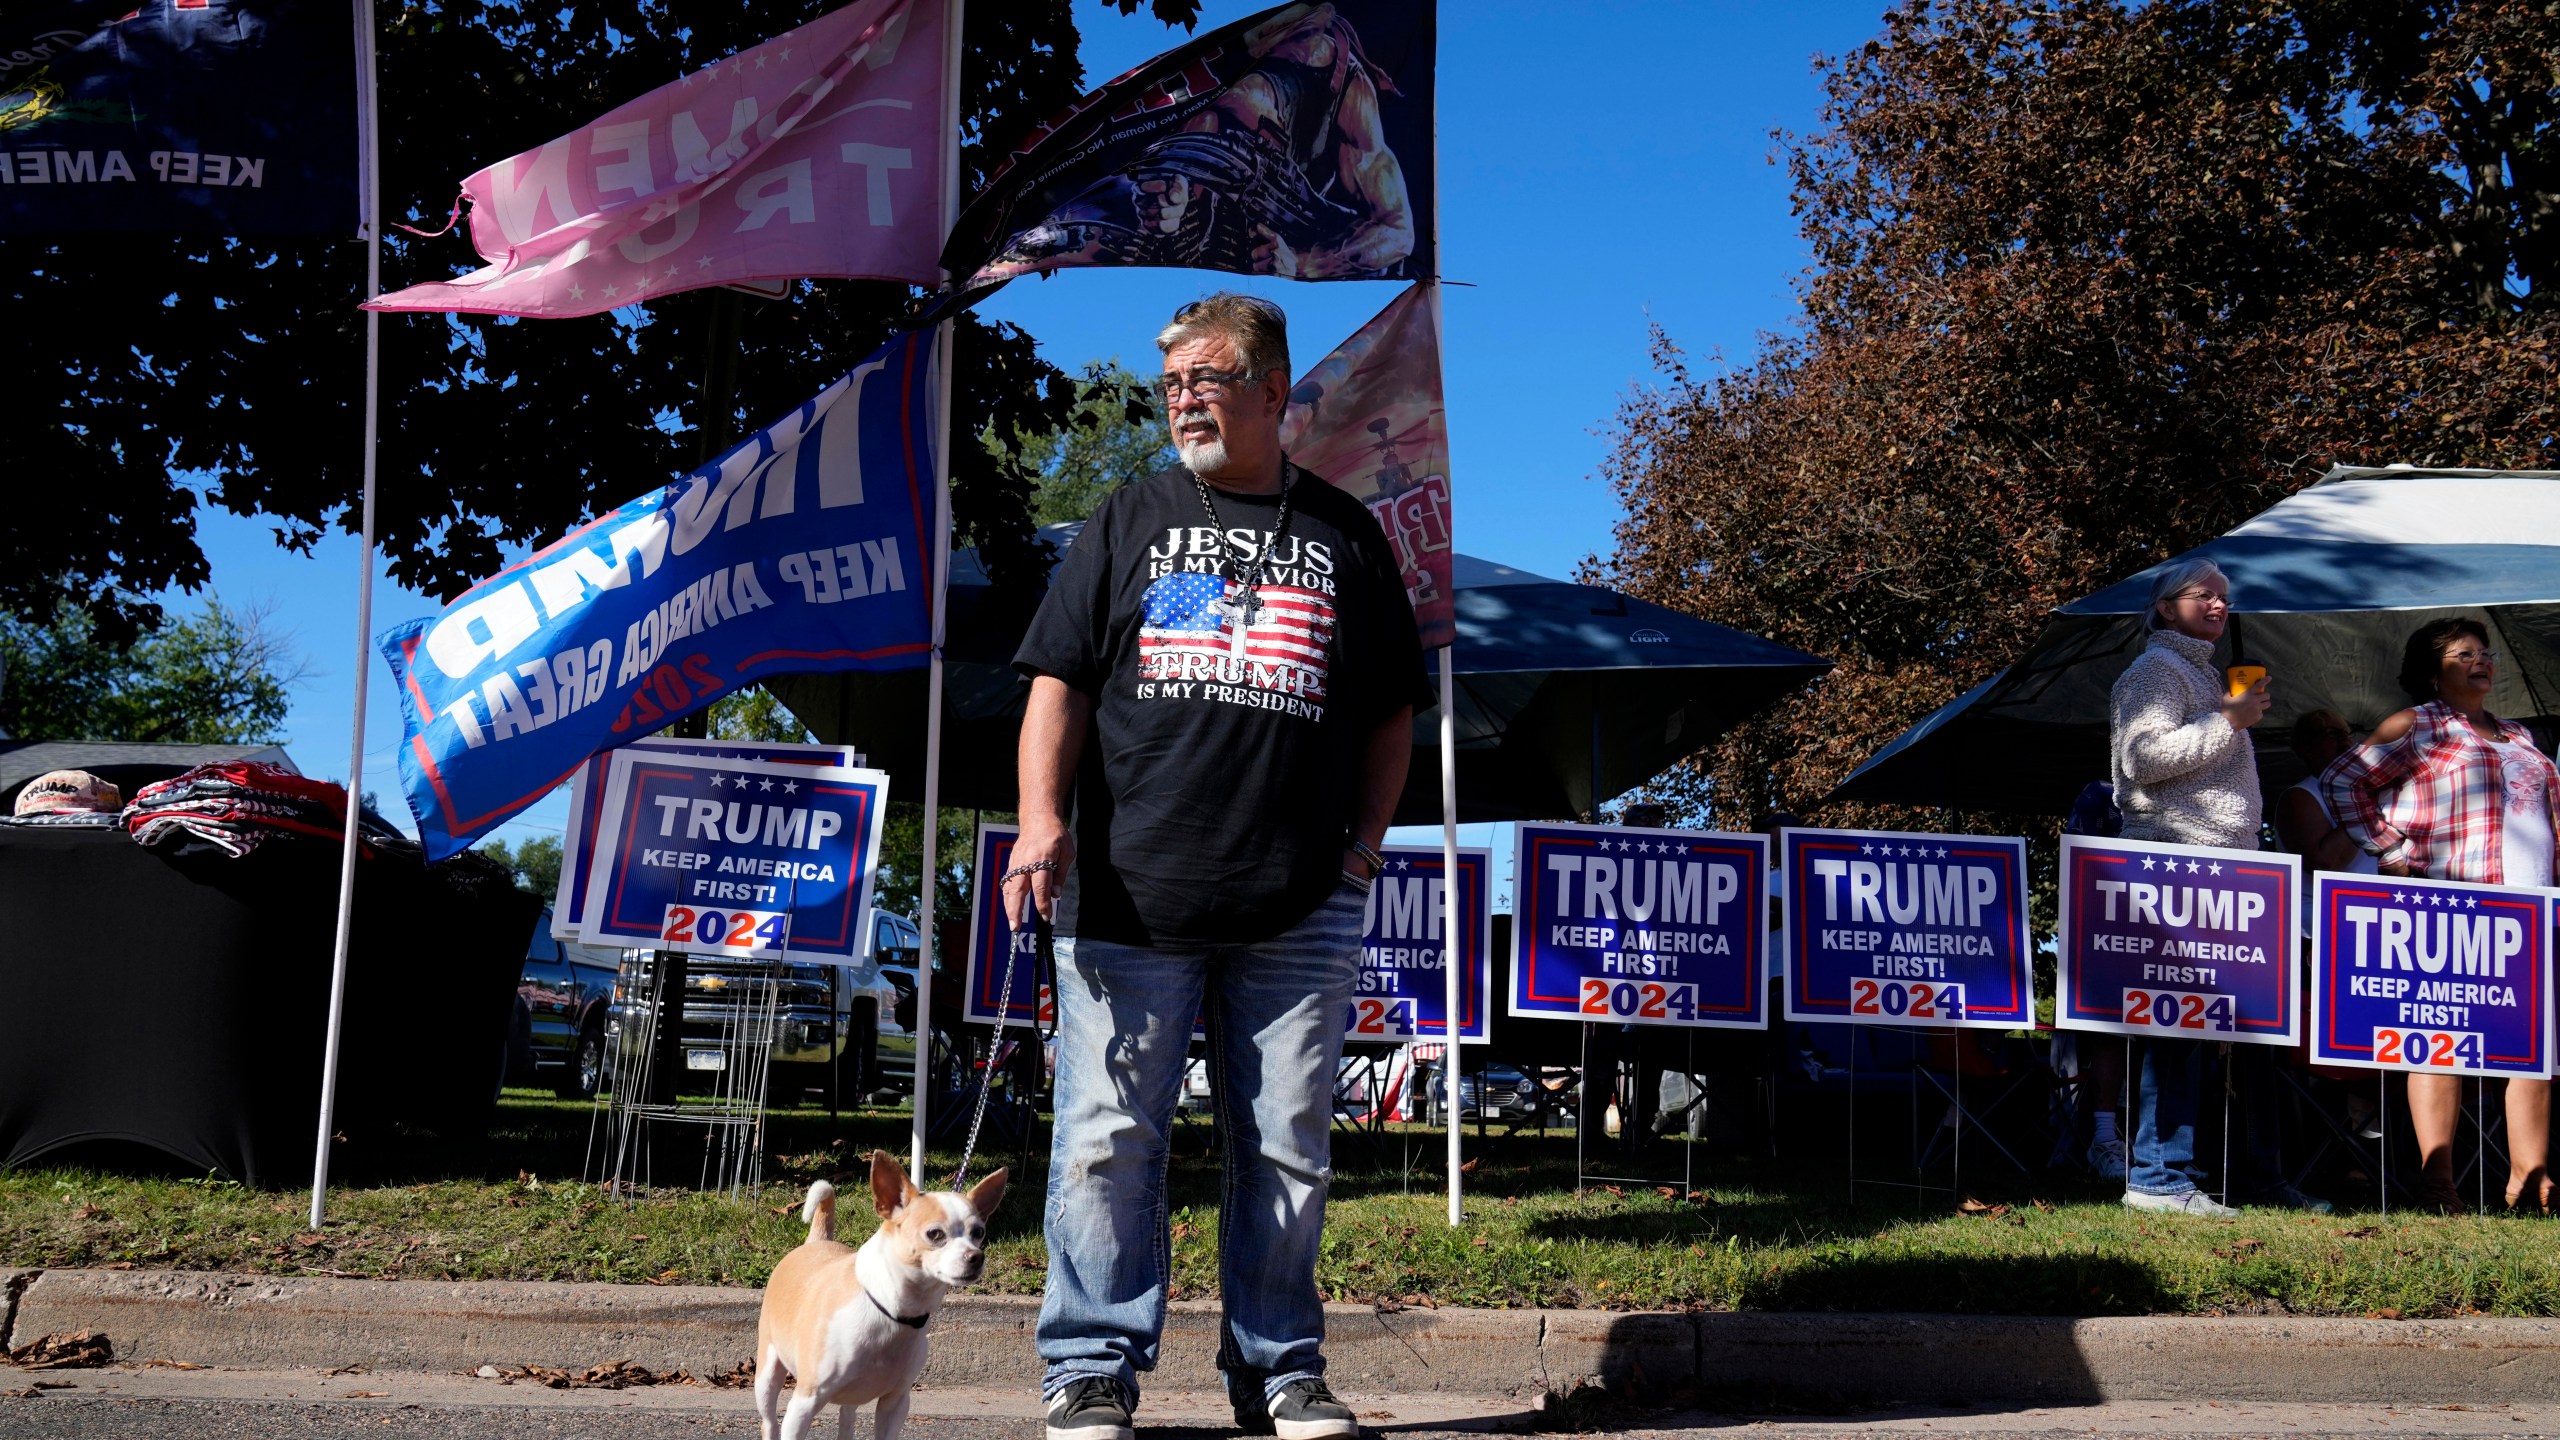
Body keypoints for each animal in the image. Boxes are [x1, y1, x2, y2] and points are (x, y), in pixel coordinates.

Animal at [747, 1147, 1008, 1434]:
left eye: (979, 1233)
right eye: (935, 1234)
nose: (976, 1257)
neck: (889, 1310)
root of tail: (817, 1240)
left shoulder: (895, 1403)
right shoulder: (803, 1404)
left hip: (852, 1397)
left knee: (847, 1418)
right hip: (767, 1378)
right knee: (770, 1420)